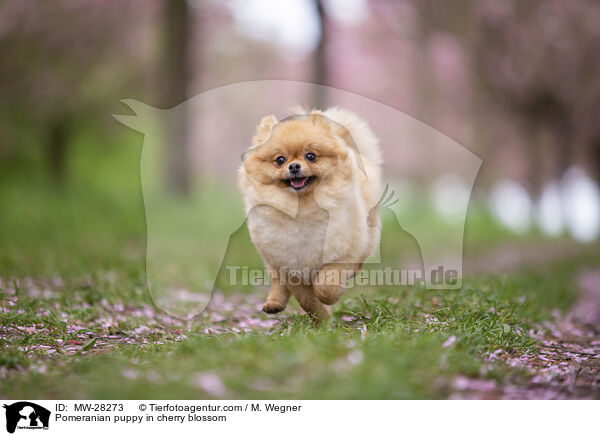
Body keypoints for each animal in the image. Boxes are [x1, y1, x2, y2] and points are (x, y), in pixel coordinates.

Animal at [237, 108, 382, 320]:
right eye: (280, 160)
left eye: (311, 156)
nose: (294, 166)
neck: (302, 209)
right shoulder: (289, 266)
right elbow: (306, 300)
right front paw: (322, 319)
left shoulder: (340, 255)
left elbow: (326, 287)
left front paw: (332, 299)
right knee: (277, 280)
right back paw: (274, 302)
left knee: (359, 261)